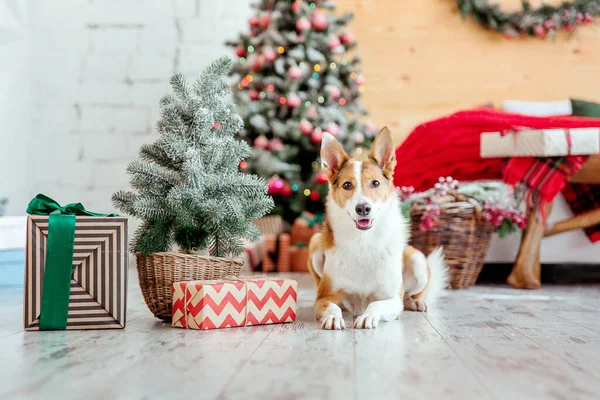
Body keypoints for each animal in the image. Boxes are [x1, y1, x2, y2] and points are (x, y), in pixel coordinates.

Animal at [308, 126, 448, 330]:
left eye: (375, 183)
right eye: (347, 185)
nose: (363, 208)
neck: (363, 242)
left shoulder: (393, 300)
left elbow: (376, 304)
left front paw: (368, 316)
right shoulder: (323, 297)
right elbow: (332, 306)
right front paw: (333, 317)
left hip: (418, 261)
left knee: (409, 295)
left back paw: (416, 302)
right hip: (315, 244)